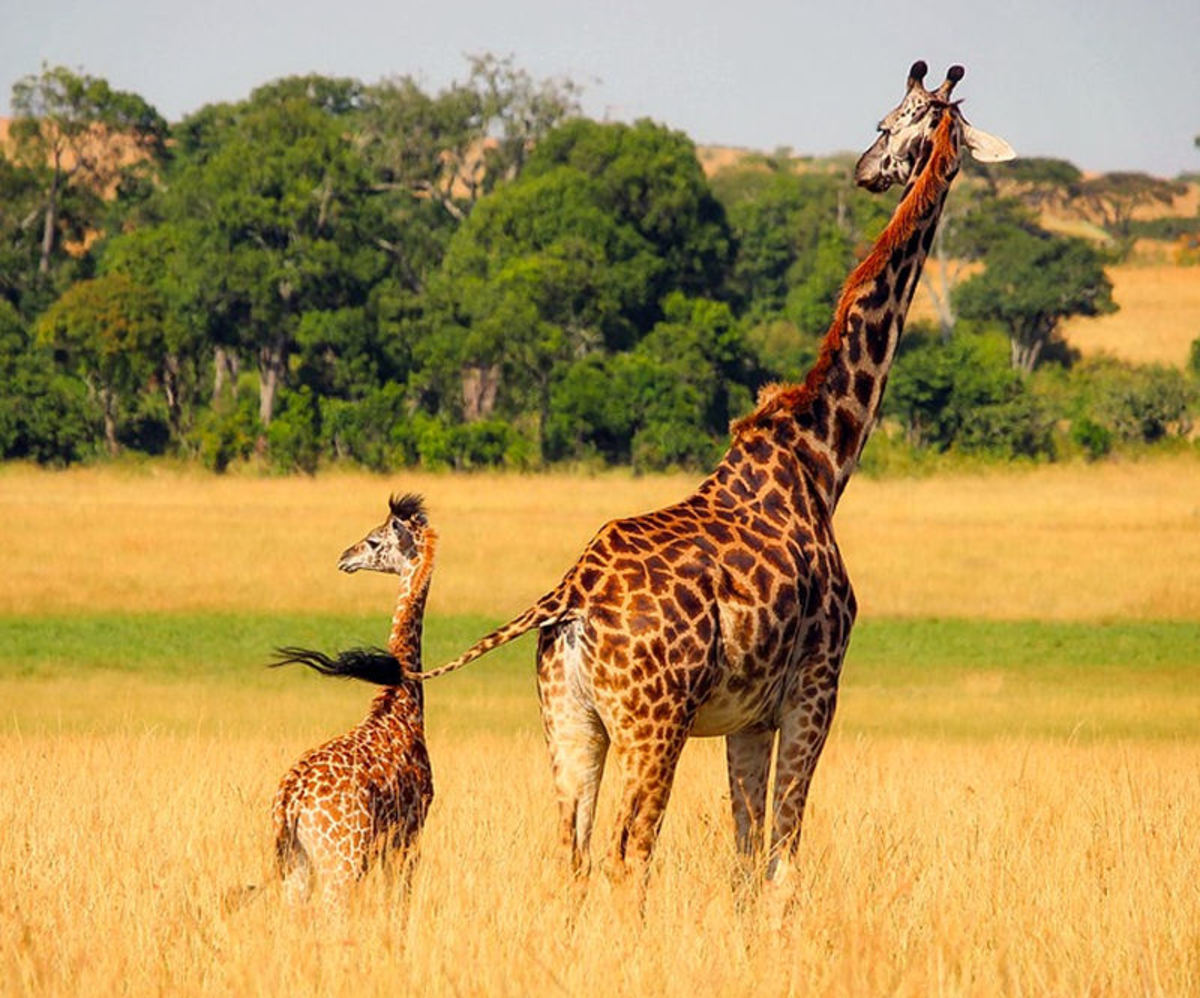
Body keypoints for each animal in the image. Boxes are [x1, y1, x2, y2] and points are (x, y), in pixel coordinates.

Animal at [268, 493, 436, 908]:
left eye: (374, 541)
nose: (345, 557)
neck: (401, 704)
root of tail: (290, 800)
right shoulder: (410, 831)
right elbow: (399, 900)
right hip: (342, 862)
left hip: (297, 865)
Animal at [412, 62, 1014, 886]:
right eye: (890, 121)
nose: (866, 170)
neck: (823, 459)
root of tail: (567, 599)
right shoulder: (816, 688)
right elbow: (783, 858)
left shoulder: (746, 718)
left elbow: (745, 856)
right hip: (653, 722)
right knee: (629, 852)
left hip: (570, 720)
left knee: (572, 852)